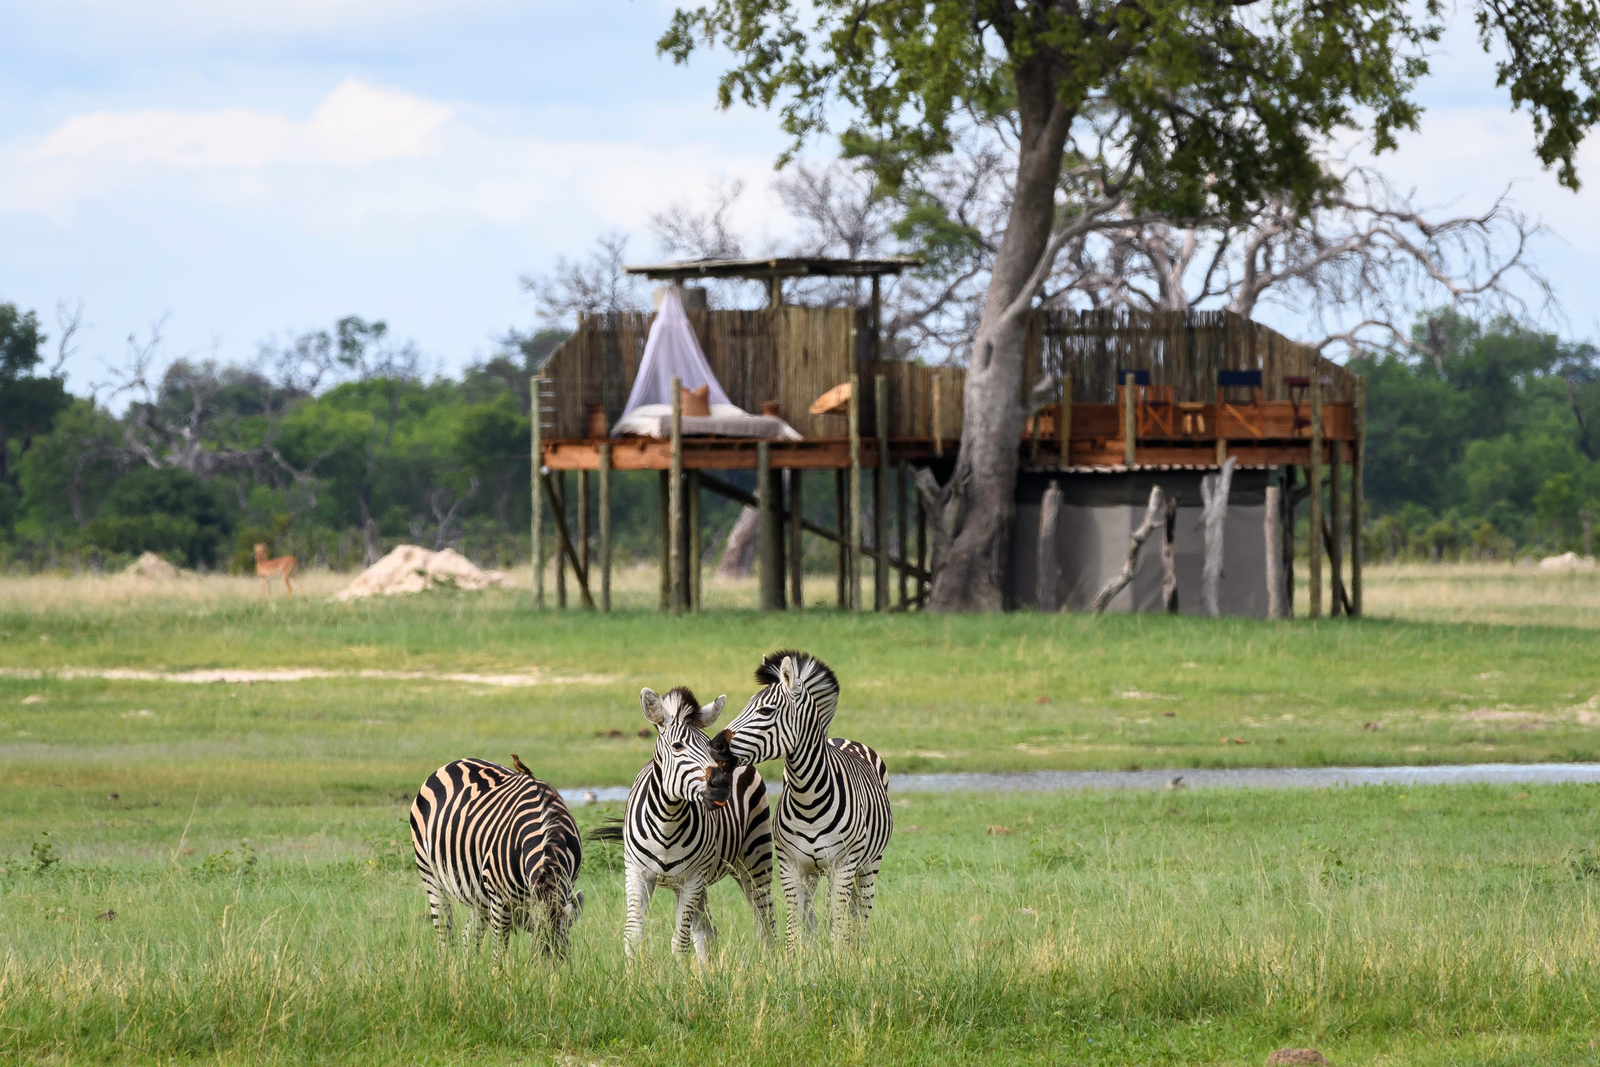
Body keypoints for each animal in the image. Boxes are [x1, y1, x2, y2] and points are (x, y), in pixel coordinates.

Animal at [409, 756, 584, 960]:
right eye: (534, 960)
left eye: (566, 956)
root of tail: (455, 762)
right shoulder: (501, 901)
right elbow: (500, 950)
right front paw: (500, 970)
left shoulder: (567, 888)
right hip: (430, 873)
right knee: (444, 928)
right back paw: (448, 964)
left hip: (478, 892)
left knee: (469, 934)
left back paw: (470, 966)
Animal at [590, 686, 775, 961]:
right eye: (677, 746)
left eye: (709, 746)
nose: (722, 784)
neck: (668, 822)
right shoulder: (637, 873)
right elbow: (633, 935)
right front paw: (633, 973)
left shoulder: (692, 880)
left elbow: (680, 941)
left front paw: (679, 973)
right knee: (708, 931)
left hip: (755, 861)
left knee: (764, 922)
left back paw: (773, 962)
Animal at [722, 651, 891, 947]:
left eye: (765, 711)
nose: (716, 744)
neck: (808, 798)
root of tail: (841, 738)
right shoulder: (790, 865)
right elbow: (794, 926)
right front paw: (797, 958)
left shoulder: (843, 865)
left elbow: (838, 927)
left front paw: (838, 959)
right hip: (813, 872)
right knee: (814, 915)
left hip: (869, 864)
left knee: (860, 914)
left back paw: (859, 949)